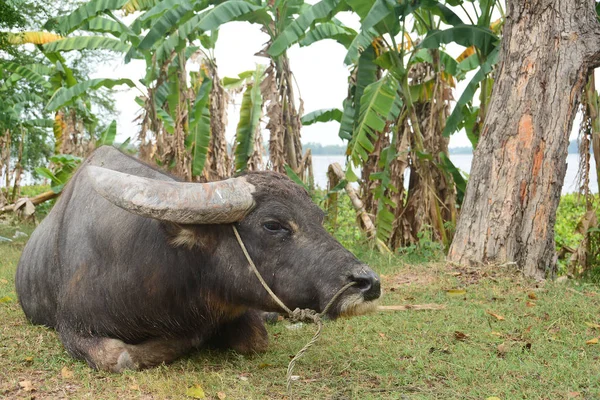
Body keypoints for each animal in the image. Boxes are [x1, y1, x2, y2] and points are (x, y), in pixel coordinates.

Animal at [16, 146, 382, 372]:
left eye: (320, 218)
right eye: (273, 225)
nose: (369, 283)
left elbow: (256, 340)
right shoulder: (74, 329)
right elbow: (122, 358)